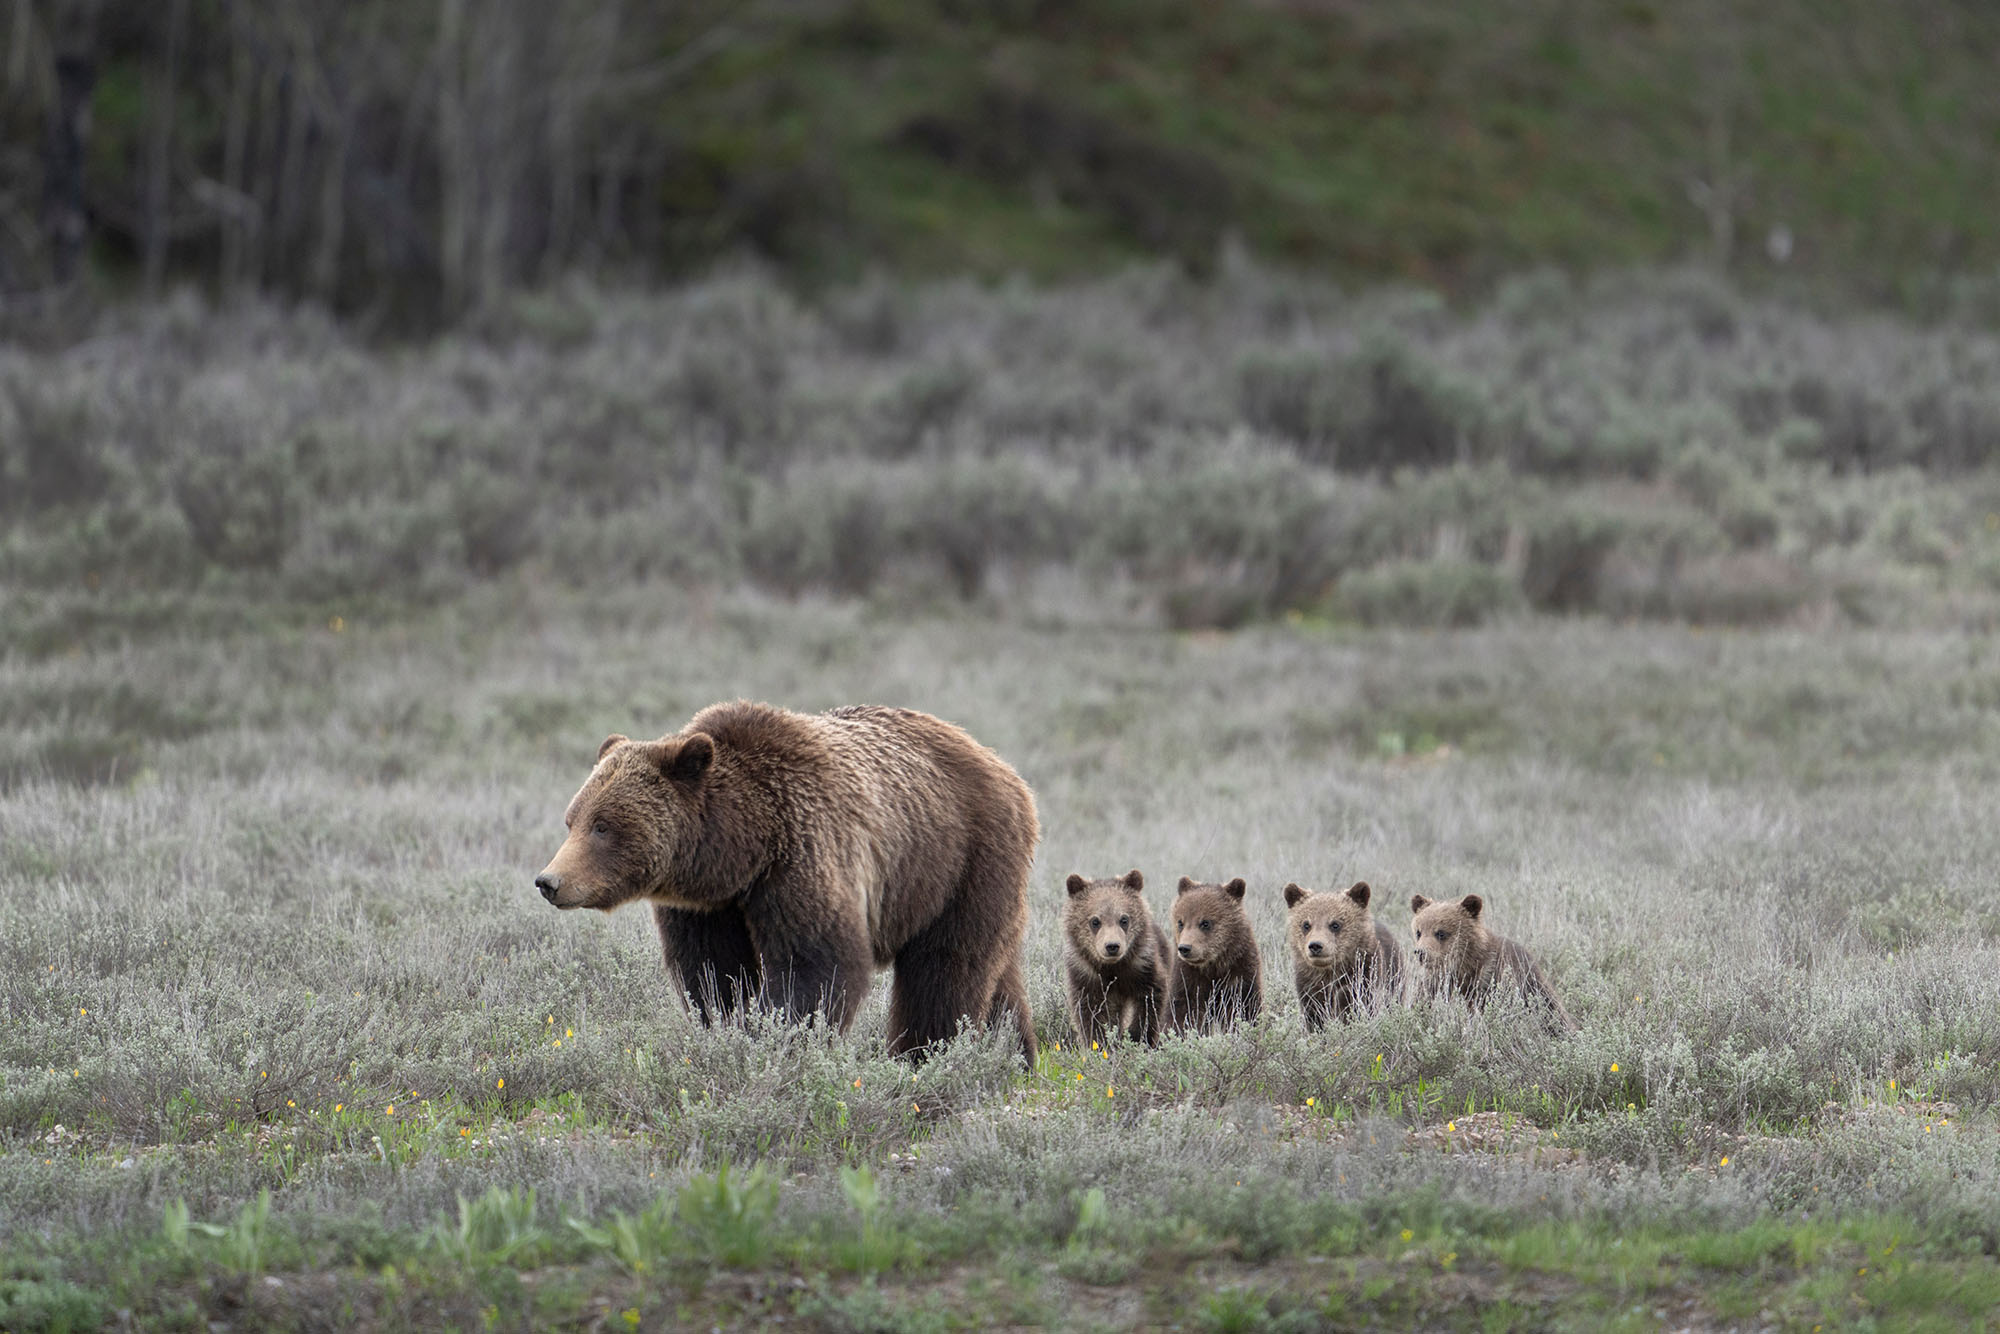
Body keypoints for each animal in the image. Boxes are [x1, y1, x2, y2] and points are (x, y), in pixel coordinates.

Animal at [534, 700, 1040, 1062]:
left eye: (603, 826)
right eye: (572, 820)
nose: (549, 881)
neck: (744, 845)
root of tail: (1005, 769)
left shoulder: (804, 851)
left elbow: (815, 964)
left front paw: (770, 1039)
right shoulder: (708, 906)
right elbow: (713, 972)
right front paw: (728, 1026)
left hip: (957, 860)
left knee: (945, 968)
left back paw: (923, 1056)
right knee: (998, 974)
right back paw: (1014, 1056)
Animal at [1064, 869, 1171, 1047]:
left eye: (1124, 919)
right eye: (1095, 921)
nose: (1112, 946)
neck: (1113, 968)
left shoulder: (1142, 967)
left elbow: (1149, 1002)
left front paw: (1137, 1037)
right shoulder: (1086, 976)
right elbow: (1089, 1012)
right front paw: (1099, 1042)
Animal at [1165, 876, 1263, 1033]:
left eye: (1205, 923)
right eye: (1180, 922)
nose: (1185, 948)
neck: (1214, 965)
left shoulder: (1241, 973)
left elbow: (1243, 1010)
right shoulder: (1187, 978)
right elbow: (1181, 1013)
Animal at [1283, 881, 1403, 1028]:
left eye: (1335, 924)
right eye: (1306, 924)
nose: (1315, 945)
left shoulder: (1365, 976)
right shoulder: (1308, 985)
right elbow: (1314, 1015)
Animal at [1408, 893, 1577, 1033]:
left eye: (1441, 933)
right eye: (1418, 932)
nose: (1420, 952)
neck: (1466, 966)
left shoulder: (1495, 977)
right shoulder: (1436, 983)